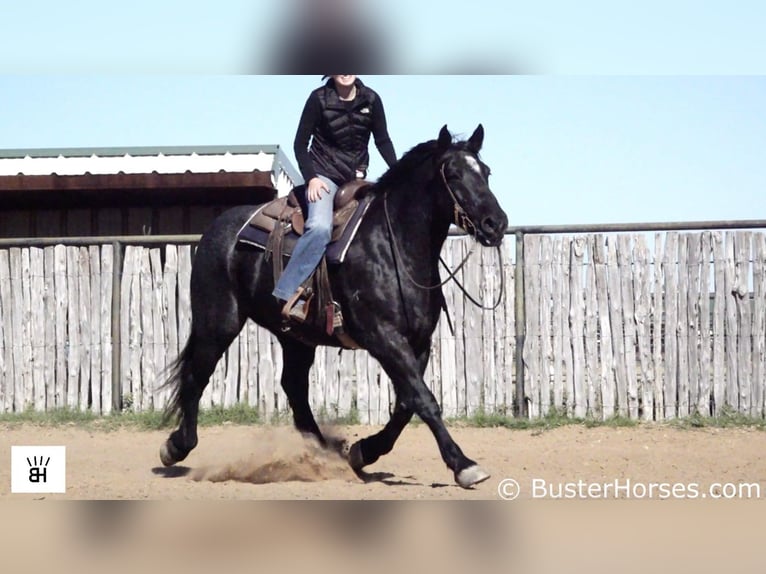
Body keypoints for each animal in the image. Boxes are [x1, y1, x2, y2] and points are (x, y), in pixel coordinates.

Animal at [160, 124, 510, 488]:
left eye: (485, 172)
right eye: (453, 174)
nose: (495, 223)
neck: (392, 246)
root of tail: (216, 230)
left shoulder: (418, 343)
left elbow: (406, 404)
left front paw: (363, 451)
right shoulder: (383, 337)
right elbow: (424, 400)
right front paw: (464, 464)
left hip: (296, 338)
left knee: (294, 388)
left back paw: (325, 453)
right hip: (219, 322)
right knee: (197, 376)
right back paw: (176, 447)